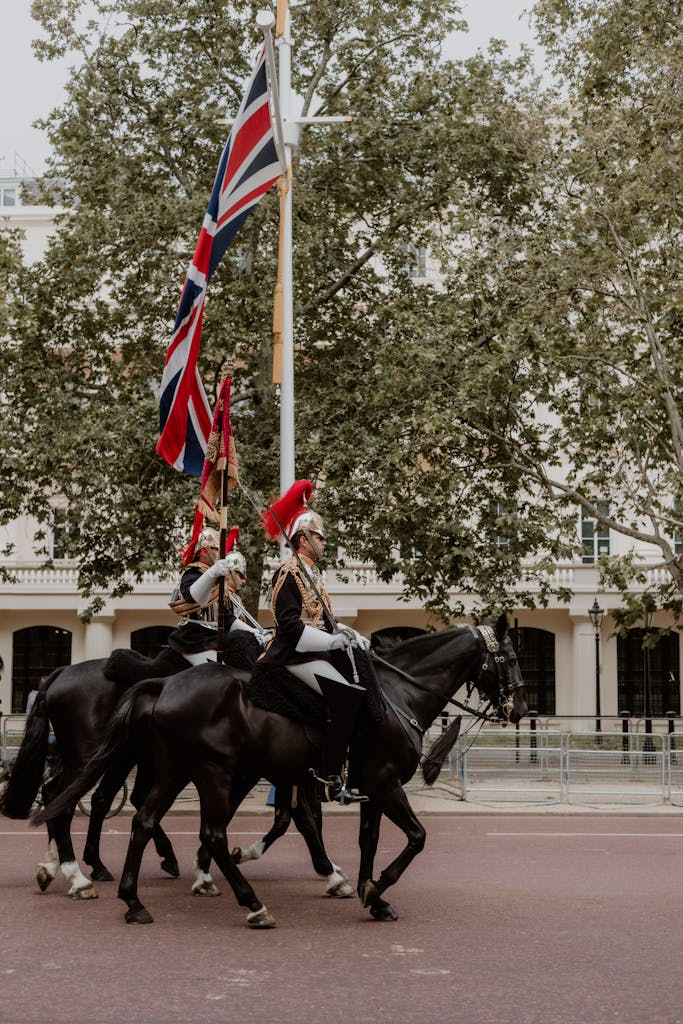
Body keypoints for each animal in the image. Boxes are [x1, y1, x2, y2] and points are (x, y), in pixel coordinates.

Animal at [37, 614, 528, 929]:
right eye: (508, 657)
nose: (521, 710)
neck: (397, 694)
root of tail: (161, 683)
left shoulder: (358, 785)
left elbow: (362, 838)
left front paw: (368, 892)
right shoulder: (381, 782)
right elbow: (414, 837)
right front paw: (370, 887)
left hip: (173, 769)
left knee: (136, 817)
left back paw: (128, 897)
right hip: (201, 770)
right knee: (188, 825)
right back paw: (248, 904)